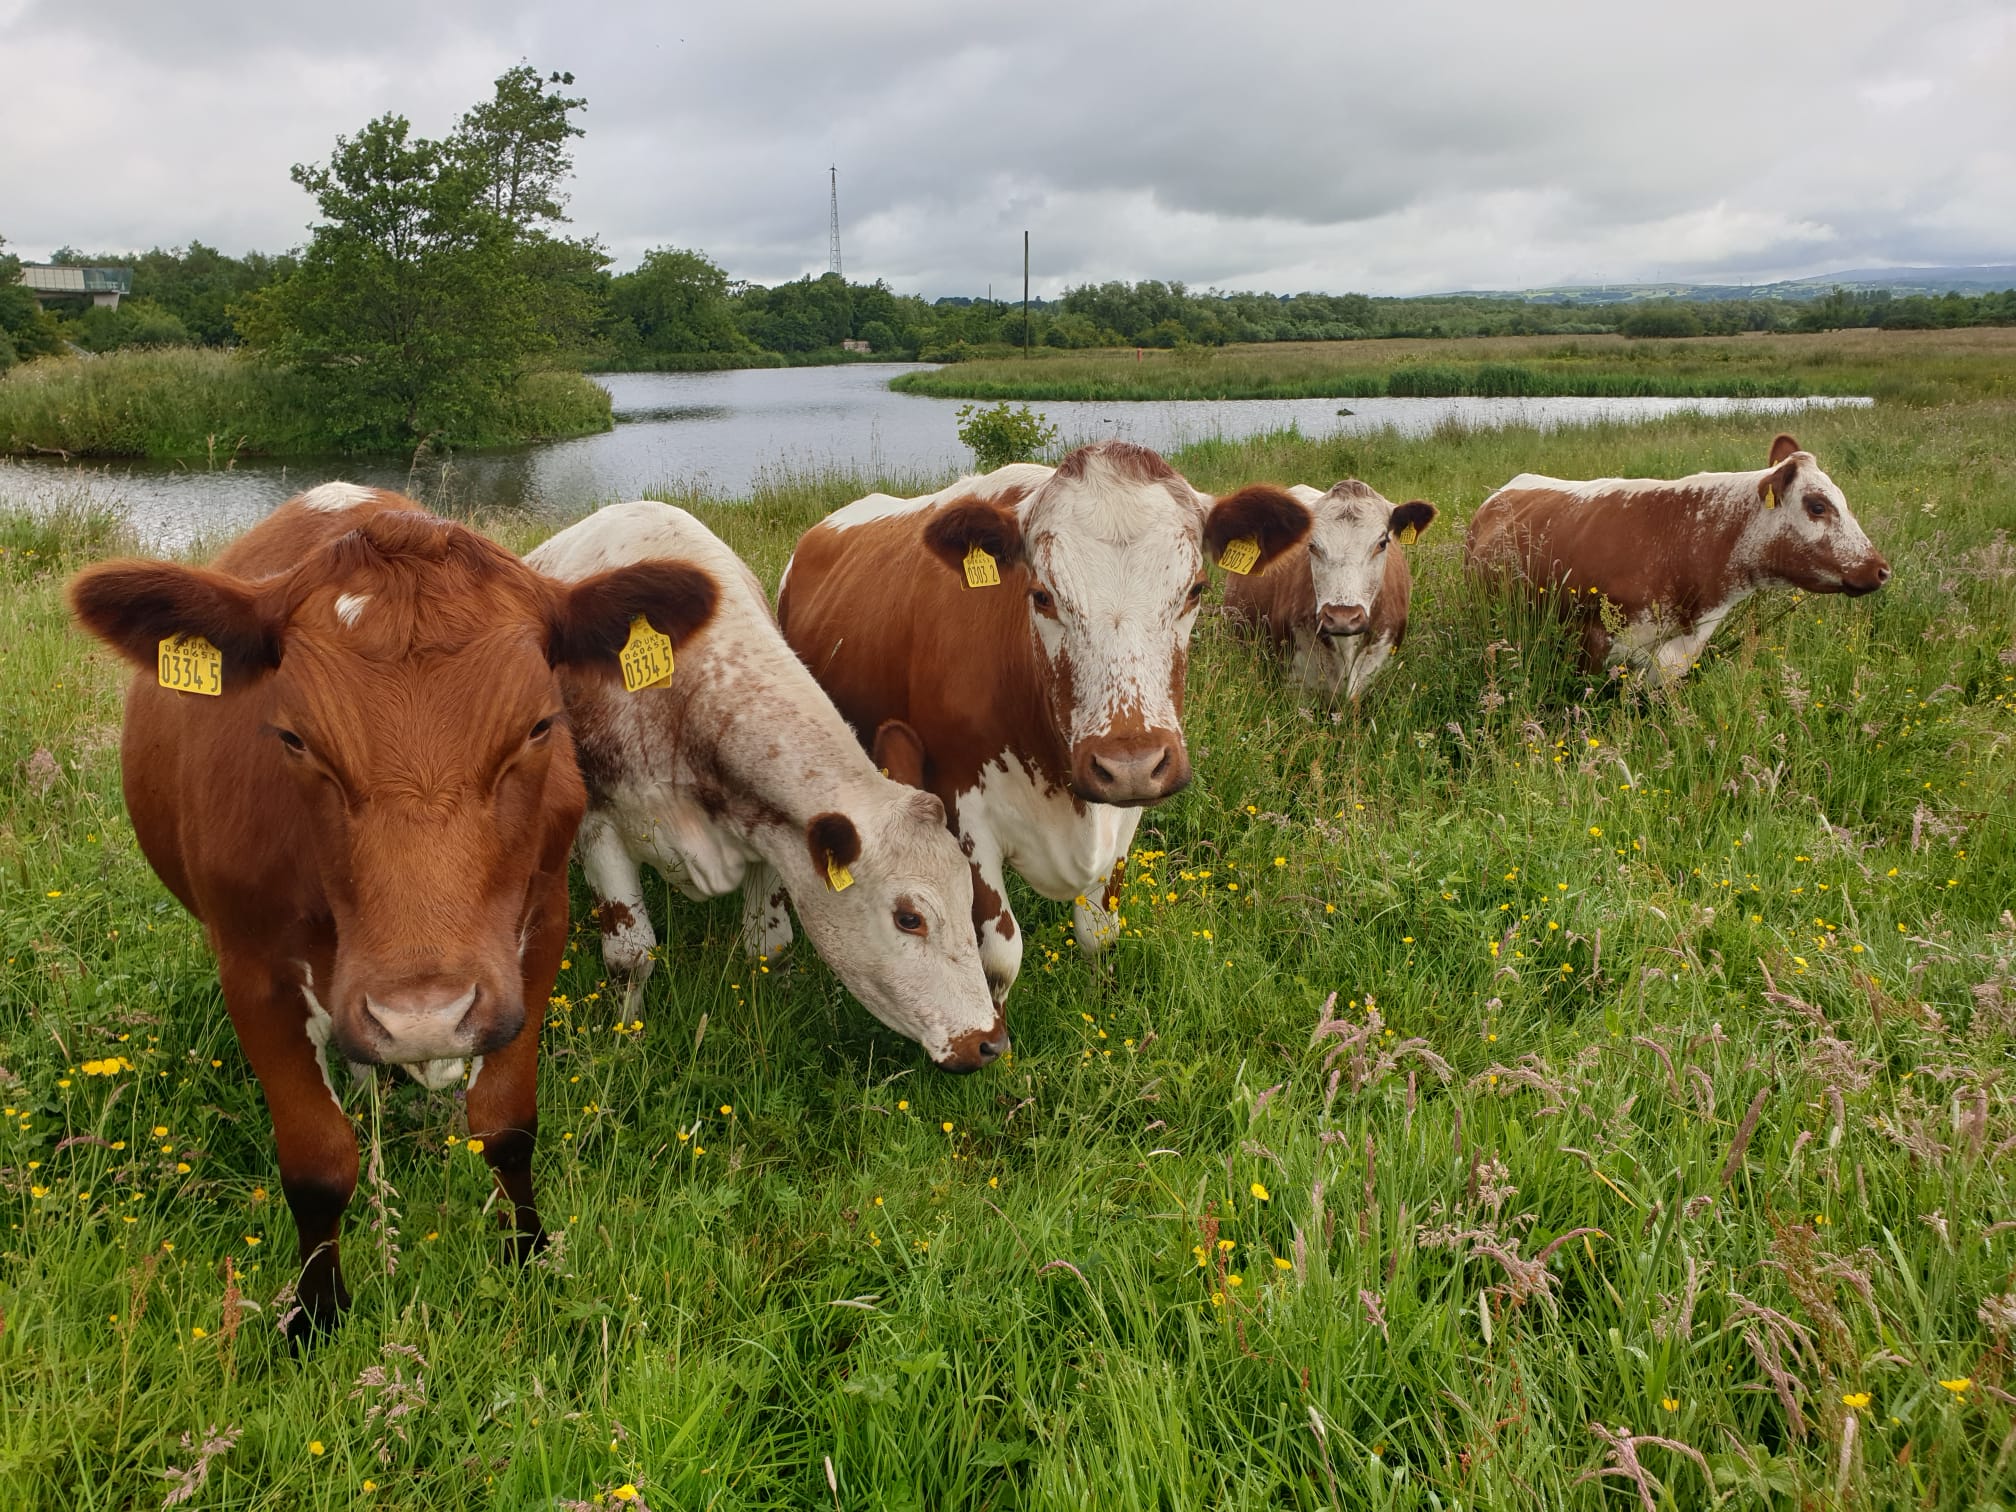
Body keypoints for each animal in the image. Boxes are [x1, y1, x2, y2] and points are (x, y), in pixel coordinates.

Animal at [67, 482, 718, 1341]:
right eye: (293, 738)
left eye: (540, 725)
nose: (423, 1016)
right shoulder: (251, 970)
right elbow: (316, 1163)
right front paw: (315, 1314)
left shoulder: (539, 931)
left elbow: (507, 1124)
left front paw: (530, 1255)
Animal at [526, 501, 1006, 1071]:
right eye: (909, 918)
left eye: (968, 896)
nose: (989, 1040)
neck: (682, 701)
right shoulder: (600, 825)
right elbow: (630, 957)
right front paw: (628, 1038)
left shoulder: (772, 836)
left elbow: (768, 944)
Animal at [777, 441, 1310, 1007]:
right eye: (1042, 595)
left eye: (1195, 590)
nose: (1130, 765)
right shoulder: (960, 809)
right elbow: (998, 957)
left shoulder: (1125, 814)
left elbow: (1099, 933)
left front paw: (1102, 1006)